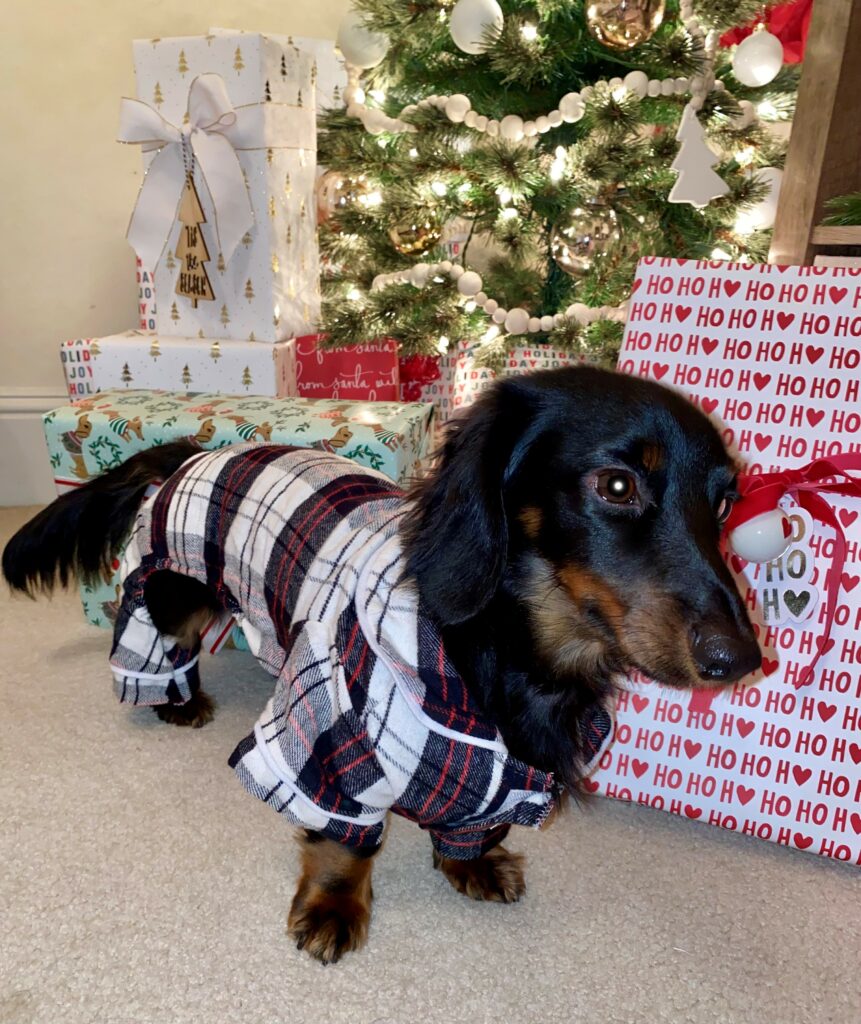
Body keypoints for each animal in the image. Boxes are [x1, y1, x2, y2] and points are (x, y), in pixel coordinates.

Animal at [5, 372, 757, 962]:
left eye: (724, 501)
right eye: (617, 484)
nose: (741, 659)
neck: (506, 653)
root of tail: (198, 451)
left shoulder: (506, 772)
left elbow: (472, 821)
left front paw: (471, 863)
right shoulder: (329, 733)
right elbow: (346, 841)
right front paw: (333, 908)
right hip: (170, 589)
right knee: (161, 642)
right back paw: (177, 700)